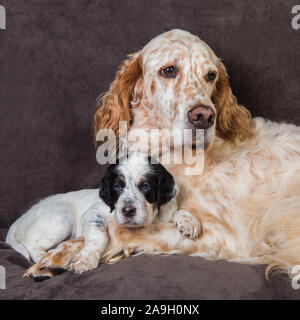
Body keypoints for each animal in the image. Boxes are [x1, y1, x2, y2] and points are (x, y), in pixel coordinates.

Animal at [6, 153, 199, 276]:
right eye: (117, 187)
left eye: (145, 186)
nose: (127, 211)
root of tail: (23, 217)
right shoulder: (93, 213)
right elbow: (99, 235)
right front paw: (86, 260)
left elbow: (177, 211)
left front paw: (189, 222)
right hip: (62, 218)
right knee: (32, 245)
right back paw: (47, 258)